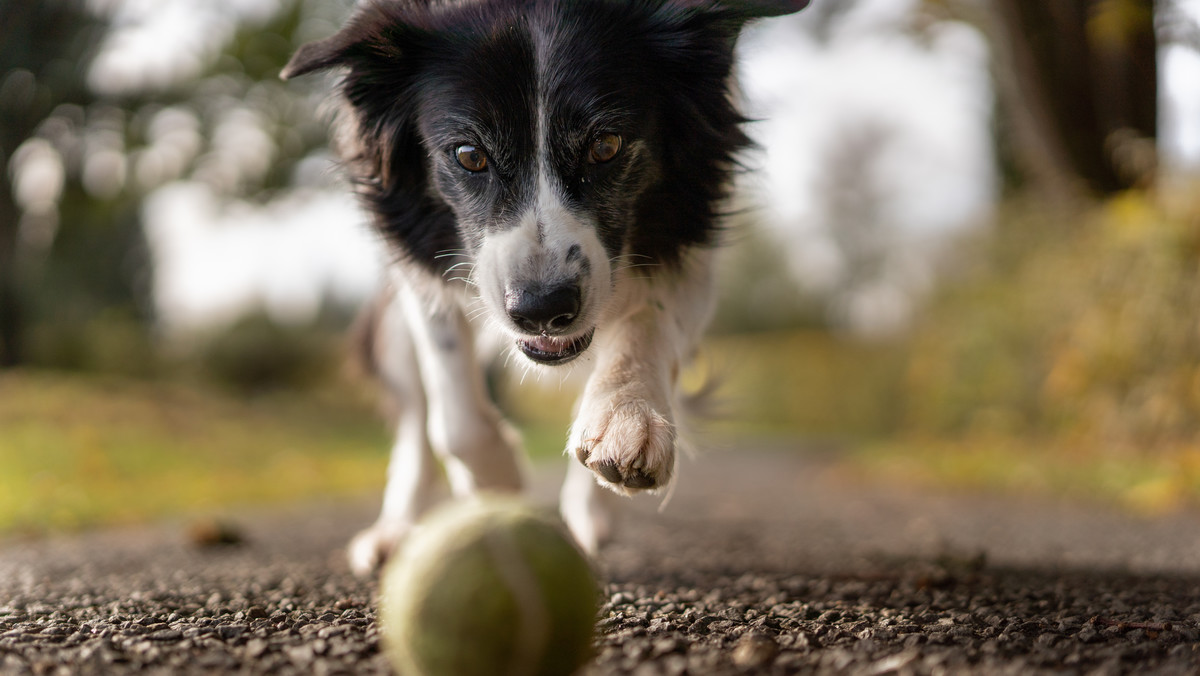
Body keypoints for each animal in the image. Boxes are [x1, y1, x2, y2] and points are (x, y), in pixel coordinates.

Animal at [283, 0, 806, 576]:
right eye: (468, 155)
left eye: (606, 145)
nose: (541, 310)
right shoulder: (417, 262)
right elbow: (453, 413)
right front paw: (498, 484)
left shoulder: (692, 235)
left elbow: (647, 321)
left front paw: (626, 419)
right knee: (417, 419)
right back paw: (395, 532)